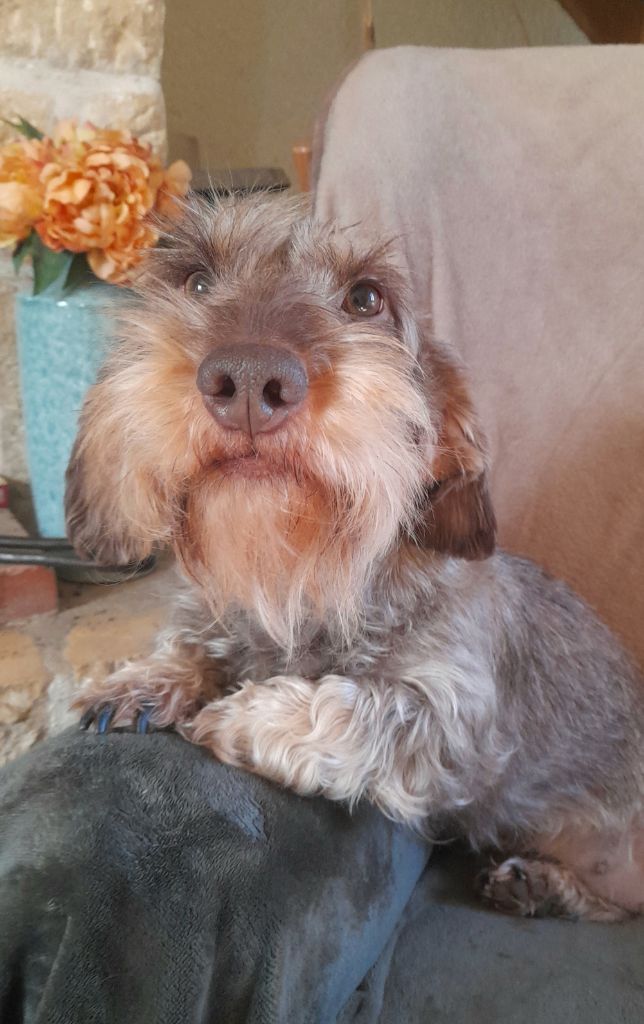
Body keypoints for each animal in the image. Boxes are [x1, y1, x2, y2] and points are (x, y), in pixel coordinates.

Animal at [67, 193, 644, 922]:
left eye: (367, 298)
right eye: (196, 281)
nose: (249, 378)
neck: (307, 578)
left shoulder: (456, 725)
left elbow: (352, 708)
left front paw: (243, 715)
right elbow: (198, 643)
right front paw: (144, 679)